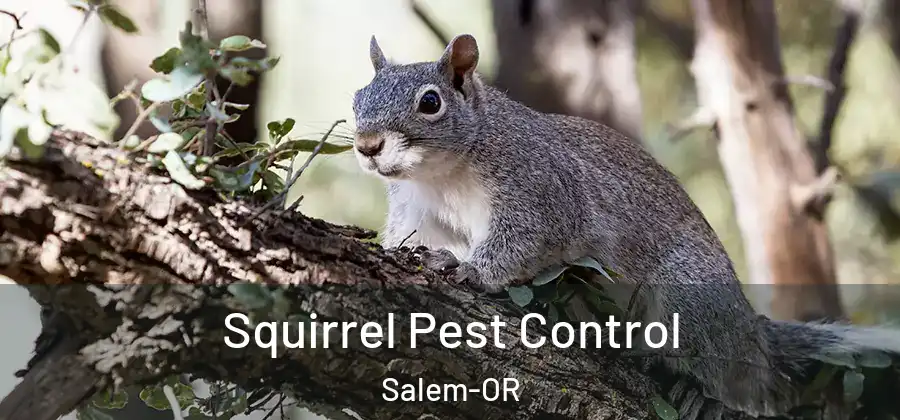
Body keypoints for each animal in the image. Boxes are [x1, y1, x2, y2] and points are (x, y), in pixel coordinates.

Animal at [350, 34, 900, 419]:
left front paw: (470, 270)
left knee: (734, 378)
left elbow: (523, 241)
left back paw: (701, 392)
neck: (441, 174)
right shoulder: (419, 211)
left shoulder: (542, 190)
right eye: (358, 97)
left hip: (690, 299)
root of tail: (751, 332)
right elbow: (411, 238)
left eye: (430, 102)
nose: (367, 146)